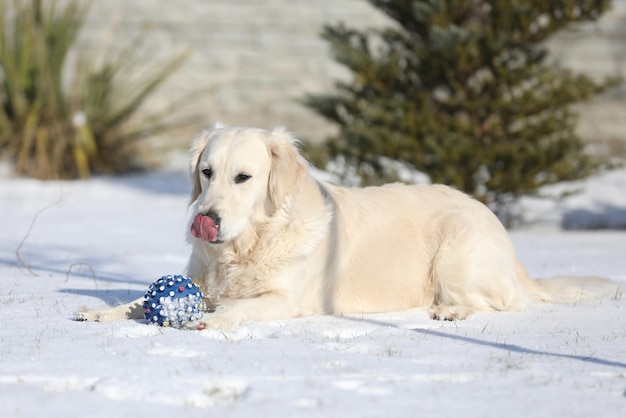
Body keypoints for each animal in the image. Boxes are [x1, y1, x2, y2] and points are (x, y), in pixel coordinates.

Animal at [77, 124, 620, 330]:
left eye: (243, 177)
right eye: (206, 172)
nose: (204, 222)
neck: (249, 244)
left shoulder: (287, 299)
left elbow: (239, 309)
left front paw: (209, 320)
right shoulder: (203, 281)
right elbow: (139, 301)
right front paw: (101, 311)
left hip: (456, 255)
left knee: (505, 303)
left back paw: (450, 311)